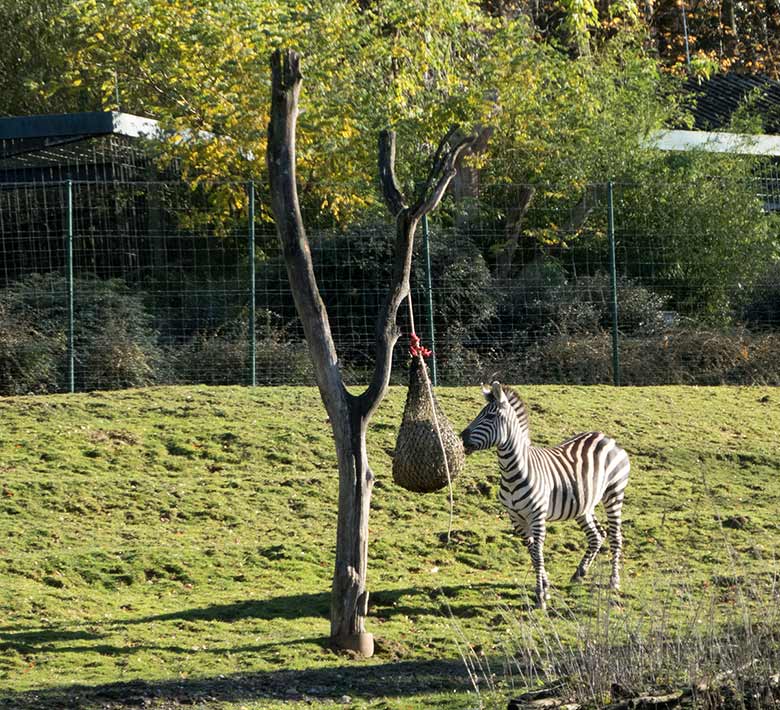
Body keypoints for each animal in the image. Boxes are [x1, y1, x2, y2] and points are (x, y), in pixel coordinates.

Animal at [460, 384, 632, 612]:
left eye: (489, 415)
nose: (461, 437)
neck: (512, 472)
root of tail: (606, 437)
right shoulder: (516, 518)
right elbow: (532, 552)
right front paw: (544, 587)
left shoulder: (537, 516)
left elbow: (538, 553)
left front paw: (541, 595)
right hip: (583, 504)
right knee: (597, 535)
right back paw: (579, 574)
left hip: (614, 493)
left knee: (615, 537)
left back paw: (614, 581)